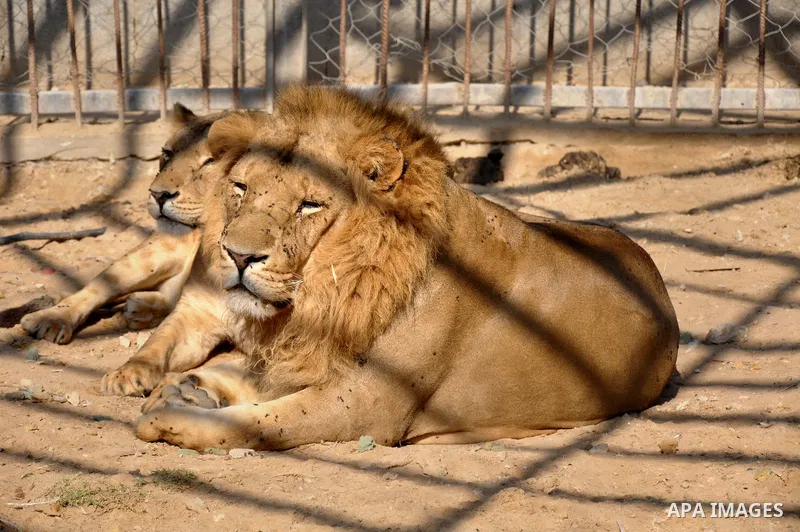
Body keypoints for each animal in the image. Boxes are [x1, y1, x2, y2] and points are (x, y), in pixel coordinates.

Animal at [22, 103, 222, 345]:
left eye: (211, 161)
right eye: (167, 154)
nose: (158, 194)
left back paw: (142, 308)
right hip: (148, 257)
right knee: (97, 288)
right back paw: (51, 318)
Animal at [135, 86, 679, 450]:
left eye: (309, 205)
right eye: (241, 188)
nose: (237, 255)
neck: (327, 295)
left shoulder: (365, 404)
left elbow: (257, 423)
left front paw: (170, 418)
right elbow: (238, 373)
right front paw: (184, 389)